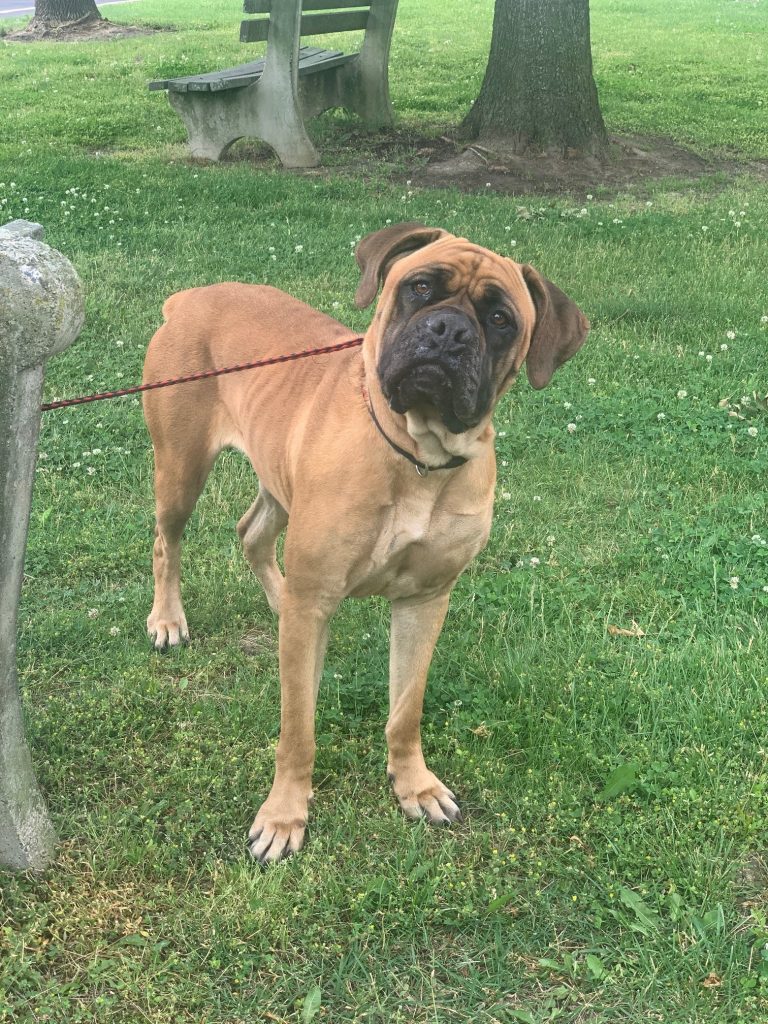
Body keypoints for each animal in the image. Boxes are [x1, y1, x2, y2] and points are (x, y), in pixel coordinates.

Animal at [144, 224, 589, 864]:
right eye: (419, 287)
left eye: (500, 318)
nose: (449, 331)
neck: (418, 456)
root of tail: (189, 298)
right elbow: (298, 731)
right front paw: (284, 816)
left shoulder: (424, 601)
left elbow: (406, 710)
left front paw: (414, 785)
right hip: (180, 469)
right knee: (168, 542)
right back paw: (167, 620)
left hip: (280, 481)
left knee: (252, 534)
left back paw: (277, 600)